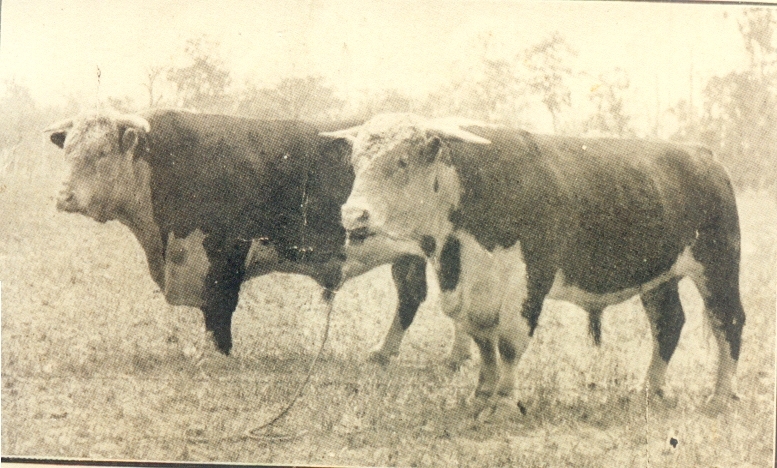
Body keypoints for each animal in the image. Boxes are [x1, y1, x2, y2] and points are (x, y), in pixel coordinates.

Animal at [45, 109, 471, 366]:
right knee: (413, 296)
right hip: (411, 256)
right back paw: (392, 354)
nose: (64, 196)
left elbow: (219, 304)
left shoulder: (225, 250)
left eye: (102, 152)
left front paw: (217, 354)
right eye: (68, 151)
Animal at [322, 113, 745, 418]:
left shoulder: (528, 280)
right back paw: (650, 391)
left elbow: (509, 341)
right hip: (659, 277)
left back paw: (720, 398)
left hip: (719, 265)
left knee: (729, 322)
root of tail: (701, 154)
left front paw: (505, 403)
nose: (353, 214)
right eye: (356, 162)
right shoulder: (470, 289)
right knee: (668, 323)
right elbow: (483, 340)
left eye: (403, 161)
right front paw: (483, 394)